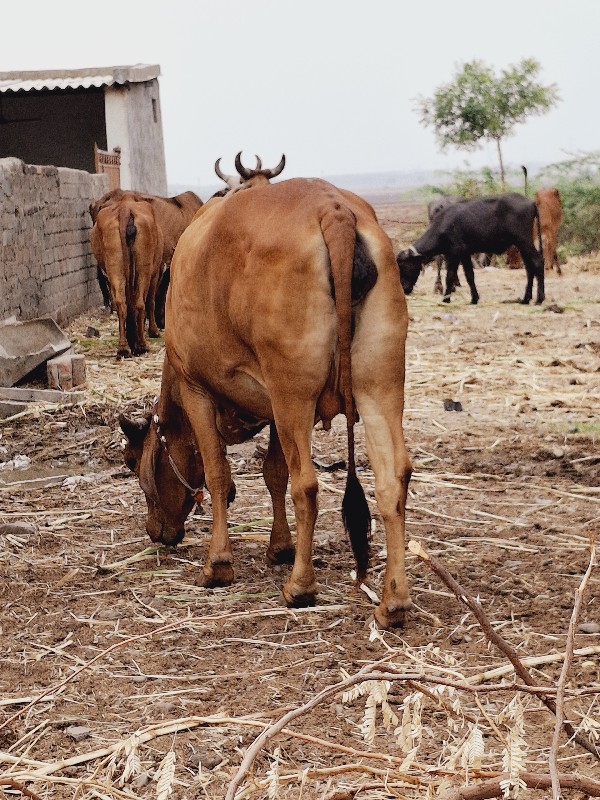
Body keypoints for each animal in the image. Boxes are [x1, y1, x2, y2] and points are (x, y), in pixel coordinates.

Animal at [89, 197, 164, 356]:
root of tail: (125, 208)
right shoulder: (154, 274)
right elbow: (151, 302)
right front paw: (154, 331)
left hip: (114, 266)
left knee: (121, 303)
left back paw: (123, 347)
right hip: (144, 268)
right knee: (141, 303)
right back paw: (141, 345)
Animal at [120, 172, 414, 628]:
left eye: (134, 463)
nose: (156, 532)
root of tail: (333, 208)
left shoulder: (197, 390)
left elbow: (218, 474)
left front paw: (218, 564)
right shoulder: (274, 408)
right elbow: (274, 473)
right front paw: (280, 547)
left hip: (294, 392)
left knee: (307, 484)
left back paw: (300, 587)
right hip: (377, 388)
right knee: (392, 479)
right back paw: (393, 602)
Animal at [398, 195, 544, 306]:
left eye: (404, 267)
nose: (404, 289)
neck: (444, 223)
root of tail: (531, 202)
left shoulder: (454, 253)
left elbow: (450, 275)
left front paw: (446, 299)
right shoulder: (464, 254)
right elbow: (469, 275)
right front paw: (474, 298)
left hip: (524, 241)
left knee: (538, 262)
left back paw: (539, 299)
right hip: (521, 245)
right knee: (529, 268)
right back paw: (526, 299)